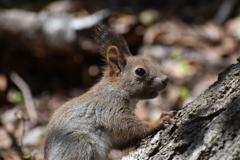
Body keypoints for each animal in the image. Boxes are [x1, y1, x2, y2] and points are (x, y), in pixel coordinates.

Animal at [44, 24, 176, 160]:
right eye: (140, 71)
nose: (166, 79)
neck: (116, 87)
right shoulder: (110, 106)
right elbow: (127, 124)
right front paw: (157, 122)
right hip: (79, 142)